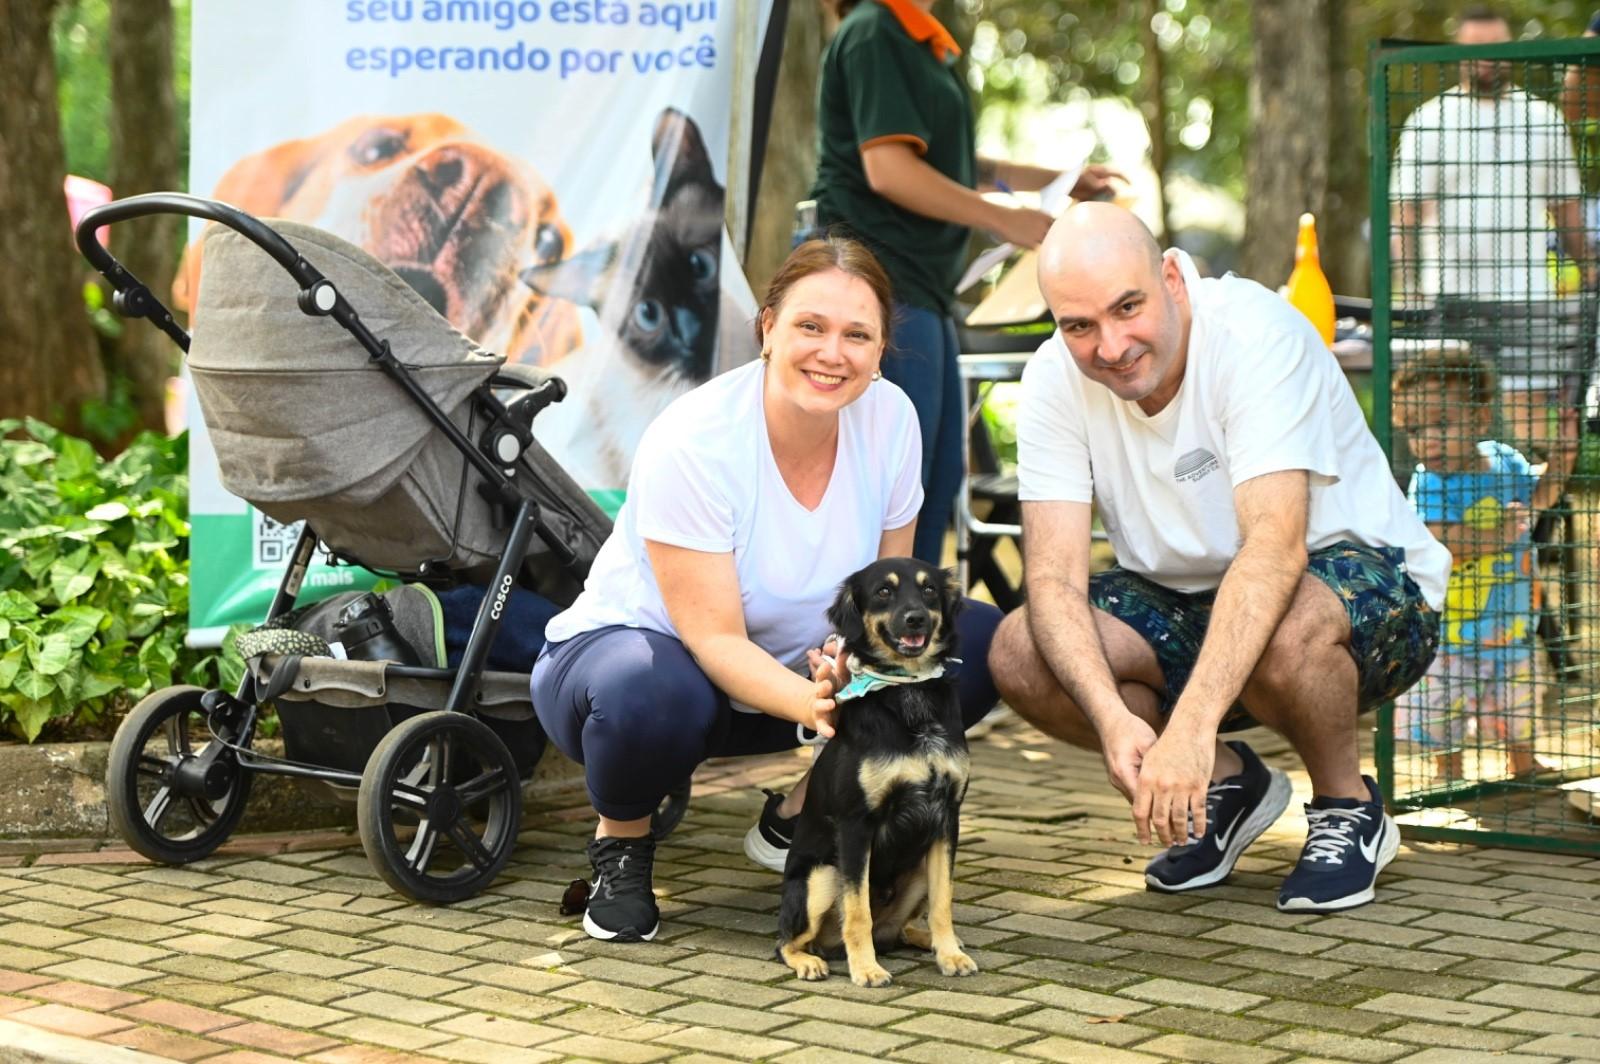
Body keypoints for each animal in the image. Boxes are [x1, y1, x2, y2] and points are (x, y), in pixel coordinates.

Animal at [777, 560, 972, 985]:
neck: (908, 690)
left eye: (929, 590)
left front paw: (950, 954)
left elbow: (944, 902)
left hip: (917, 869)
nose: (915, 618)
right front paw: (865, 969)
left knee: (898, 930)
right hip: (821, 876)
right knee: (786, 941)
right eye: (884, 591)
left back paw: (928, 941)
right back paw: (810, 961)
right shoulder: (856, 824)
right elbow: (856, 912)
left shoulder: (946, 816)